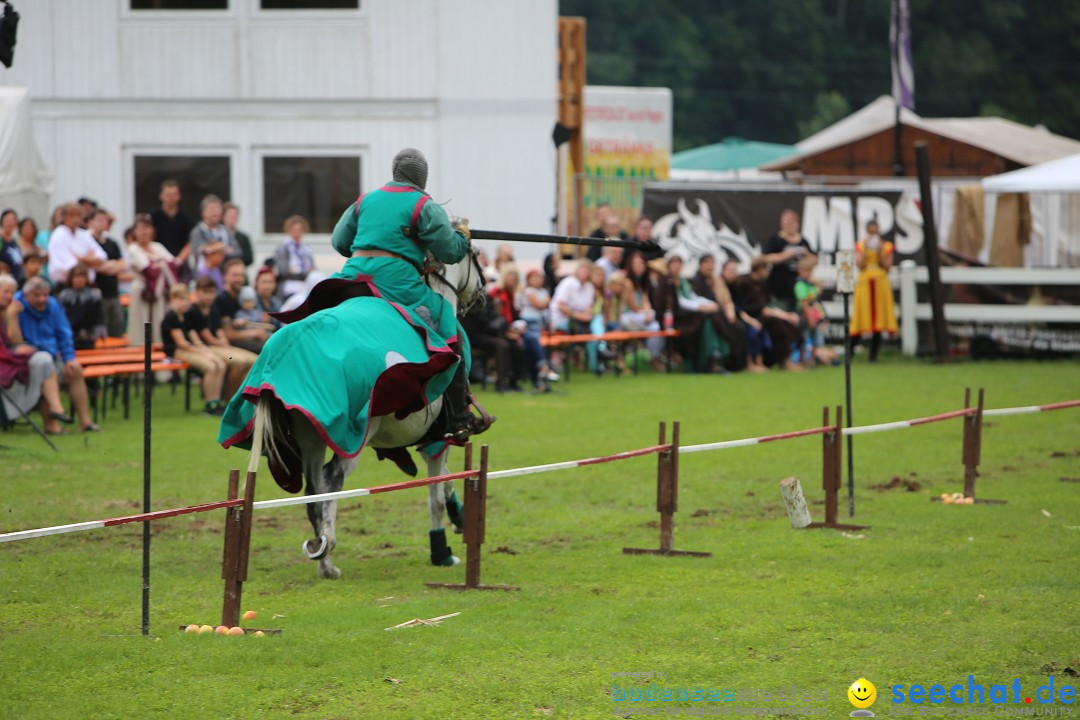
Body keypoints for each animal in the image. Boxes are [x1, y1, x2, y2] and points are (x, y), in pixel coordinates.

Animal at [247, 253, 483, 578]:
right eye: (475, 255)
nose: (482, 292)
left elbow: (446, 481)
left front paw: (458, 518)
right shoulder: (438, 440)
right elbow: (436, 494)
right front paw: (442, 550)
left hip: (312, 437)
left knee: (313, 493)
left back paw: (326, 565)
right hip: (355, 435)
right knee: (331, 477)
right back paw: (328, 543)